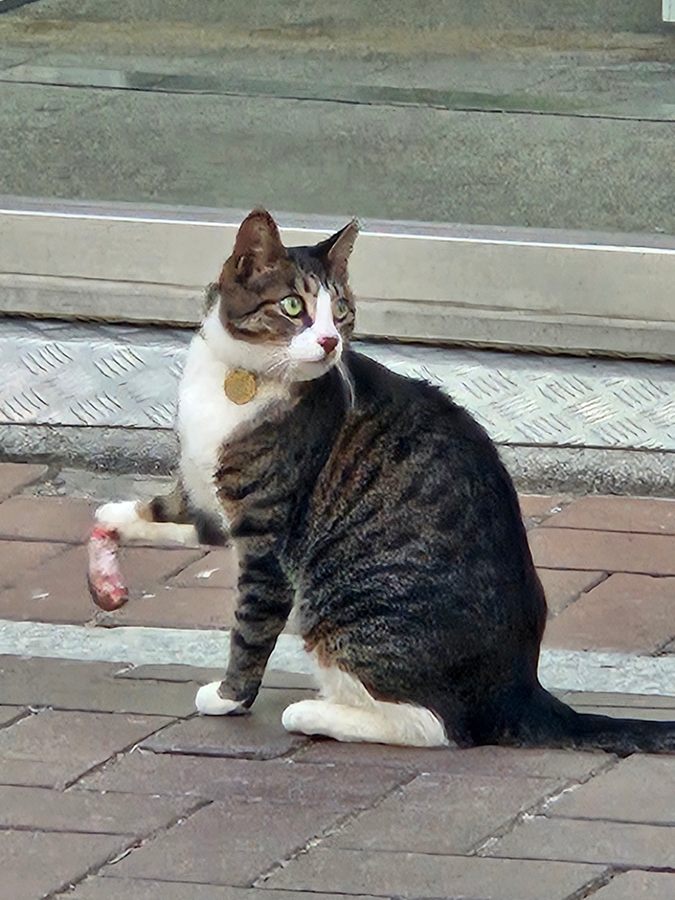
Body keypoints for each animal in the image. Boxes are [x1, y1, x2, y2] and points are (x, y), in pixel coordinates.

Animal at [90, 207, 675, 756]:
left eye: (341, 311)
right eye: (294, 306)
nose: (330, 341)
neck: (239, 382)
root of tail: (520, 690)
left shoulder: (266, 536)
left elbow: (251, 624)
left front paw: (230, 697)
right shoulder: (211, 506)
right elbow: (136, 514)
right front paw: (106, 560)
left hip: (343, 609)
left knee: (436, 725)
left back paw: (314, 712)